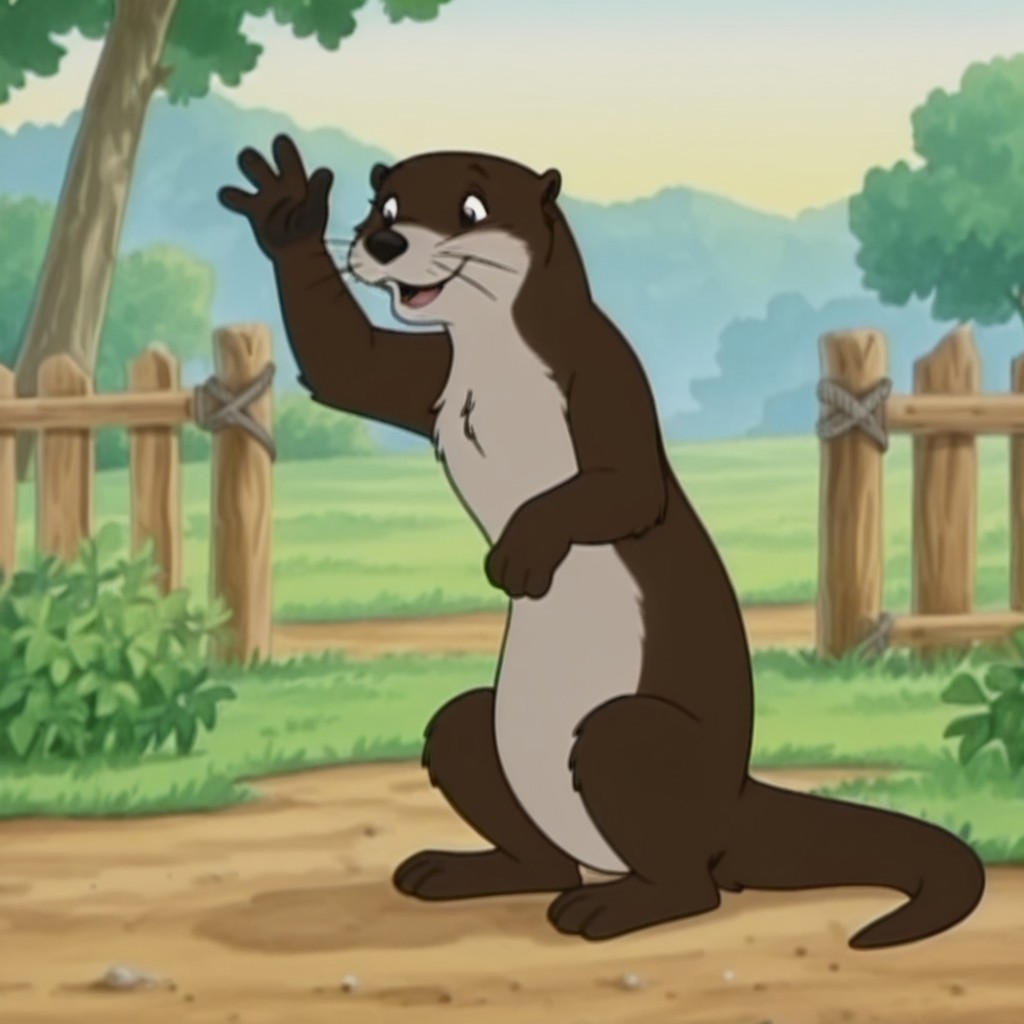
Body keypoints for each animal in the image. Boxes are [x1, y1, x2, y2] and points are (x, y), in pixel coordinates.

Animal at [219, 134, 985, 948]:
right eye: (383, 208)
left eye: (471, 208)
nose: (385, 244)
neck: (500, 366)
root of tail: (736, 800)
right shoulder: (432, 373)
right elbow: (346, 362)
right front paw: (287, 209)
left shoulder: (609, 375)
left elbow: (624, 486)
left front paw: (519, 555)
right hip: (482, 728)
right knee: (523, 823)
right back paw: (461, 871)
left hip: (629, 737)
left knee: (690, 883)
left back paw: (611, 908)